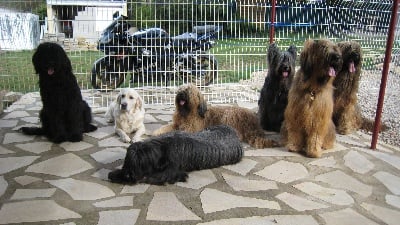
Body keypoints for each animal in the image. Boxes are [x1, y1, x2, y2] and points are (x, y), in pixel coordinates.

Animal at [108, 125, 242, 185]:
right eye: (127, 163)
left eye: (139, 164)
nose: (127, 174)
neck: (163, 146)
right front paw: (114, 174)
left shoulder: (173, 168)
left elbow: (159, 176)